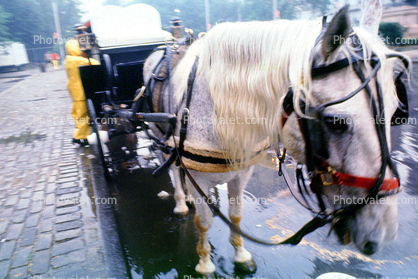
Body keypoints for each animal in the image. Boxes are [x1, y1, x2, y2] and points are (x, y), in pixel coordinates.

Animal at [142, 4, 410, 276]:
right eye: (335, 122)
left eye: (395, 114)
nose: (382, 233)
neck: (215, 109)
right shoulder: (201, 179)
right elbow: (204, 222)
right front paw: (205, 264)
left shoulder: (242, 172)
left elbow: (236, 216)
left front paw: (240, 255)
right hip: (158, 134)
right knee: (171, 168)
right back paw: (181, 202)